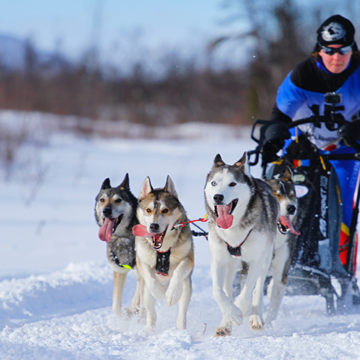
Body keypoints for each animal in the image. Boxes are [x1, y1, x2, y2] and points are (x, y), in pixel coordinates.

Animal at [95, 174, 143, 318]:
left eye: (118, 200)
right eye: (102, 200)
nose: (106, 211)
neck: (125, 237)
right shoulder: (119, 270)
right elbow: (115, 306)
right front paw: (126, 314)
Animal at [133, 176, 194, 330]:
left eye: (165, 210)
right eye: (148, 210)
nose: (153, 226)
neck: (162, 250)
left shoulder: (189, 259)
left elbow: (180, 269)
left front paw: (171, 294)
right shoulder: (142, 261)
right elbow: (150, 279)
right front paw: (160, 292)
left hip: (186, 287)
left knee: (181, 313)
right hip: (145, 294)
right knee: (151, 314)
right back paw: (149, 330)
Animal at [205, 153, 278, 336]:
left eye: (232, 183)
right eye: (214, 183)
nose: (218, 197)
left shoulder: (257, 258)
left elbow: (249, 288)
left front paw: (240, 309)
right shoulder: (218, 259)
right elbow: (218, 291)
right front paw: (231, 313)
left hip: (267, 257)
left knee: (258, 287)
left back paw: (255, 317)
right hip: (231, 264)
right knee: (227, 288)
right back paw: (226, 322)